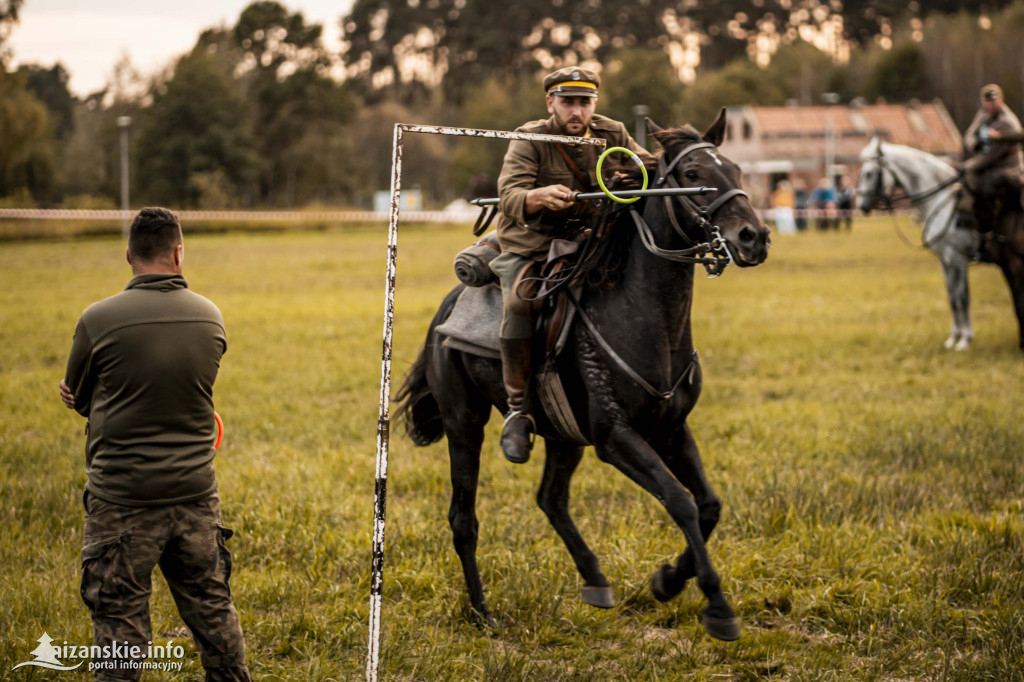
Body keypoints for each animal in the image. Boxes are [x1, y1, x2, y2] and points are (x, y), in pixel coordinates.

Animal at [395, 110, 770, 638]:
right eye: (693, 174)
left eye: (735, 169)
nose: (753, 237)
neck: (644, 316)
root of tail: (444, 311)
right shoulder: (617, 439)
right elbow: (681, 501)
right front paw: (714, 605)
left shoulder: (672, 430)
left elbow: (708, 505)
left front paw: (668, 580)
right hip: (464, 423)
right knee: (463, 519)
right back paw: (482, 611)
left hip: (563, 436)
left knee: (550, 499)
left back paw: (594, 579)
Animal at [856, 138, 974, 350]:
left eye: (868, 173)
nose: (862, 206)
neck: (943, 202)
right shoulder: (946, 260)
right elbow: (952, 297)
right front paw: (954, 337)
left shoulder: (958, 258)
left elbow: (963, 298)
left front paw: (965, 340)